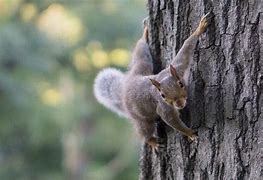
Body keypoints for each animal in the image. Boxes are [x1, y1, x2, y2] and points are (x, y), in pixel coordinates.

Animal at [94, 11, 213, 149]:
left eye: (181, 84)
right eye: (162, 95)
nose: (179, 104)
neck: (162, 78)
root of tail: (126, 85)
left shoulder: (178, 67)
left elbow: (187, 47)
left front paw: (200, 28)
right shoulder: (164, 108)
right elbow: (173, 122)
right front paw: (190, 133)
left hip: (142, 65)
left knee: (141, 53)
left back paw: (144, 36)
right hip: (142, 119)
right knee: (144, 132)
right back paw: (152, 142)